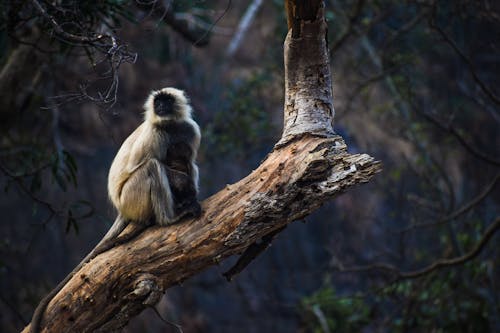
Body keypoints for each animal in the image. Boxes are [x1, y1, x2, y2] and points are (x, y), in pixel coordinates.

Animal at [28, 87, 201, 330]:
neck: (170, 126)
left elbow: (188, 162)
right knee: (152, 166)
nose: (160, 107)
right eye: (158, 102)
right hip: (131, 197)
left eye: (166, 101)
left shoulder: (190, 130)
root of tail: (121, 208)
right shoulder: (154, 134)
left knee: (188, 166)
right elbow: (145, 164)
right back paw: (168, 218)